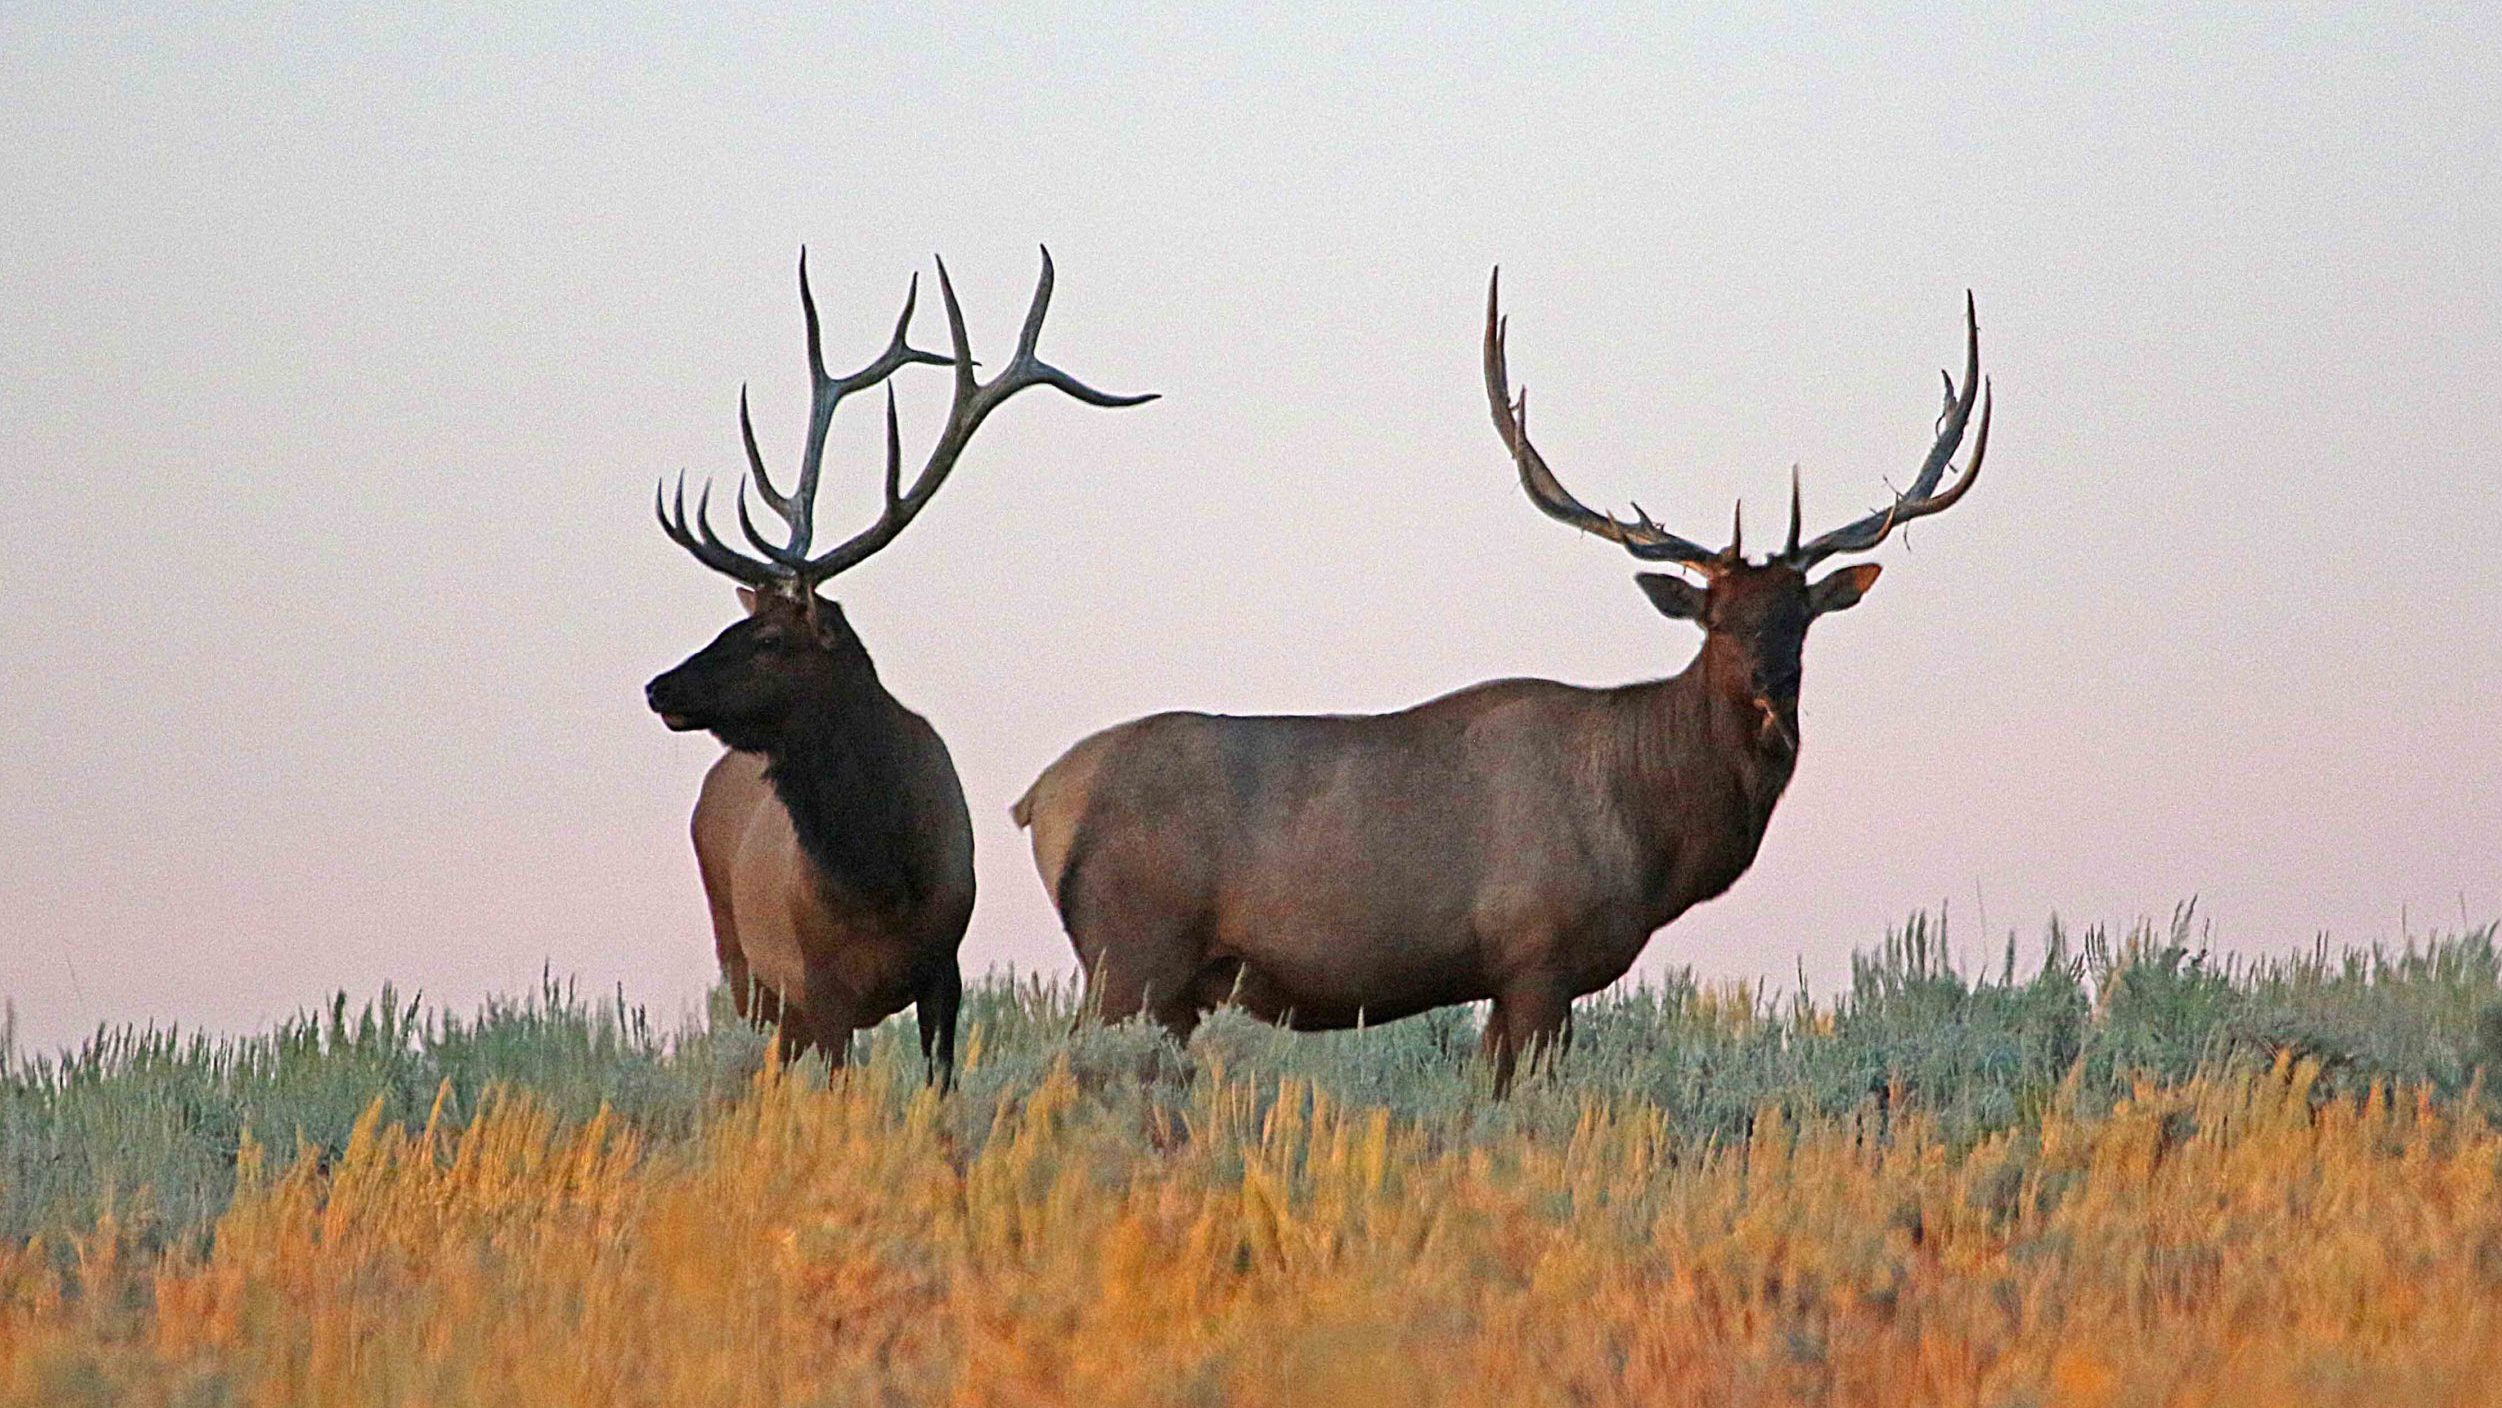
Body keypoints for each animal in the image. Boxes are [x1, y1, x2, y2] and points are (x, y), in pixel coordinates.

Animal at [645, 247, 1150, 1085]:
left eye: (769, 640)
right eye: (736, 624)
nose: (658, 686)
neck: (876, 882)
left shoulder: (945, 965)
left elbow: (939, 1084)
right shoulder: (819, 987)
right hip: (742, 963)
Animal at [1020, 272, 1991, 1090]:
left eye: (1801, 615)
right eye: (1716, 618)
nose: (1768, 684)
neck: (1651, 826)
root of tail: (1037, 799)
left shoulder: (1507, 976)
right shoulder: (1536, 953)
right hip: (1133, 953)